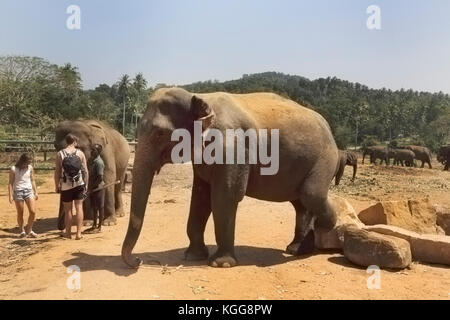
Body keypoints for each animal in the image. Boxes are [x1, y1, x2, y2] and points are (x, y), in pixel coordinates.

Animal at [121, 87, 340, 268]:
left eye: (160, 133)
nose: (138, 261)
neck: (200, 96)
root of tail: (329, 127)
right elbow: (200, 197)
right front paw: (193, 257)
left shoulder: (233, 148)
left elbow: (225, 196)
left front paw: (221, 264)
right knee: (301, 203)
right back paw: (297, 249)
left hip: (325, 157)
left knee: (311, 194)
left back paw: (318, 232)